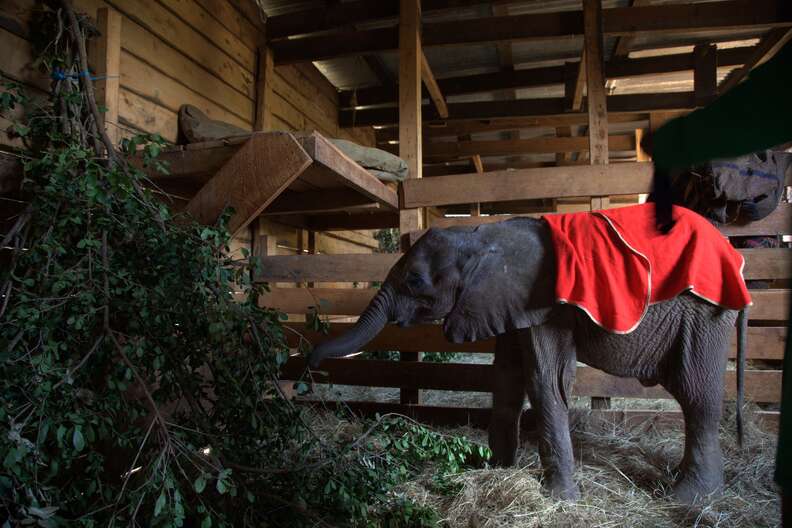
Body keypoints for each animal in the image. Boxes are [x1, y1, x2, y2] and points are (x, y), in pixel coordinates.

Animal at [310, 209, 748, 504]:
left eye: (415, 281)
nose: (311, 366)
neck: (480, 238)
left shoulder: (542, 304)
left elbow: (545, 380)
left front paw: (559, 498)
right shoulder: (502, 302)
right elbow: (506, 377)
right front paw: (494, 469)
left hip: (706, 314)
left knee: (696, 394)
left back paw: (689, 498)